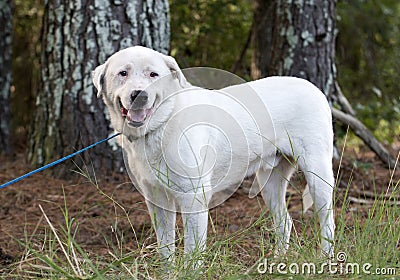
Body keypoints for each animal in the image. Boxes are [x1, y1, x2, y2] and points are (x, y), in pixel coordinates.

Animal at [92, 46, 336, 264]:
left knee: (327, 221)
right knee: (285, 222)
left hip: (318, 174)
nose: (139, 95)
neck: (163, 121)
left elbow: (192, 251)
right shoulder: (157, 199)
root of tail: (314, 88)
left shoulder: (193, 197)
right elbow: (166, 250)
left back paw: (326, 259)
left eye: (153, 74)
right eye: (123, 73)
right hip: (270, 182)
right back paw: (278, 261)